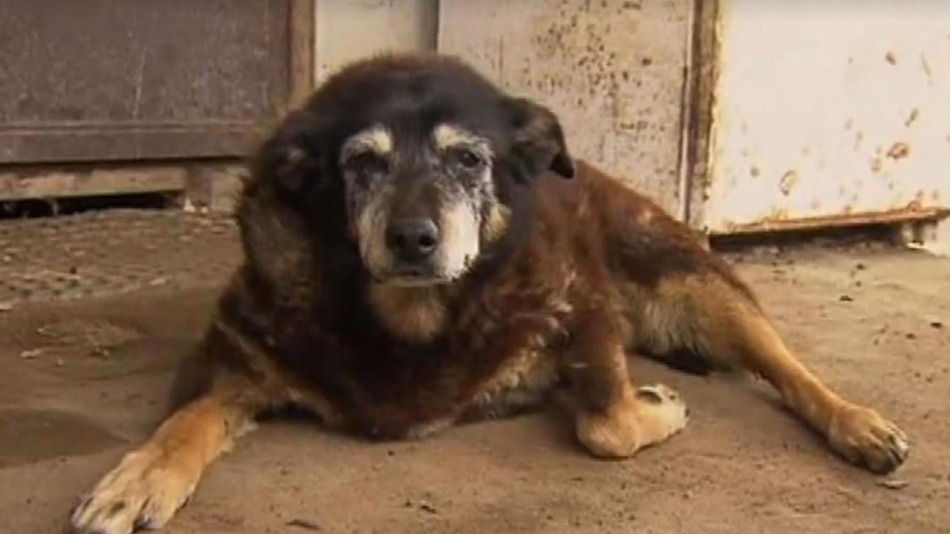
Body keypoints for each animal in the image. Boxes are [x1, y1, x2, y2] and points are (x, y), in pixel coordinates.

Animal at [70, 55, 912, 534]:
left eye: (468, 159)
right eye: (361, 163)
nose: (413, 238)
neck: (414, 323)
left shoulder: (581, 305)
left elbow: (606, 425)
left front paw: (653, 406)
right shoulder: (236, 358)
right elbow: (185, 423)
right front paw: (138, 479)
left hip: (697, 283)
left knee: (788, 369)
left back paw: (860, 426)